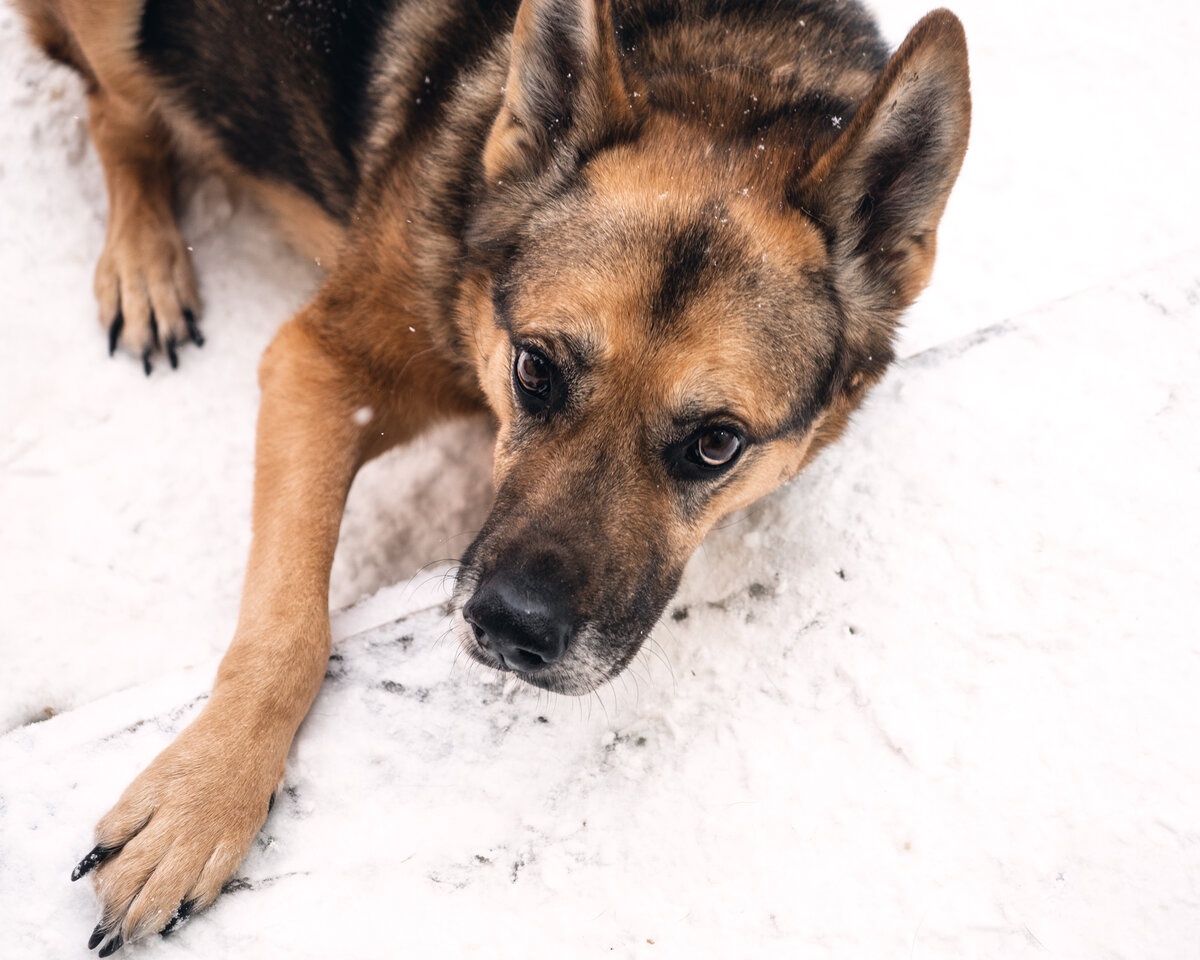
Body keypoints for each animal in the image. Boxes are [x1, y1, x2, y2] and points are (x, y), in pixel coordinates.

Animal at [18, 0, 969, 950]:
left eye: (716, 444)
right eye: (535, 368)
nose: (513, 630)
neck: (733, 79)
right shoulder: (321, 367)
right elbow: (288, 629)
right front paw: (201, 801)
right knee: (116, 115)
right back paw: (145, 262)